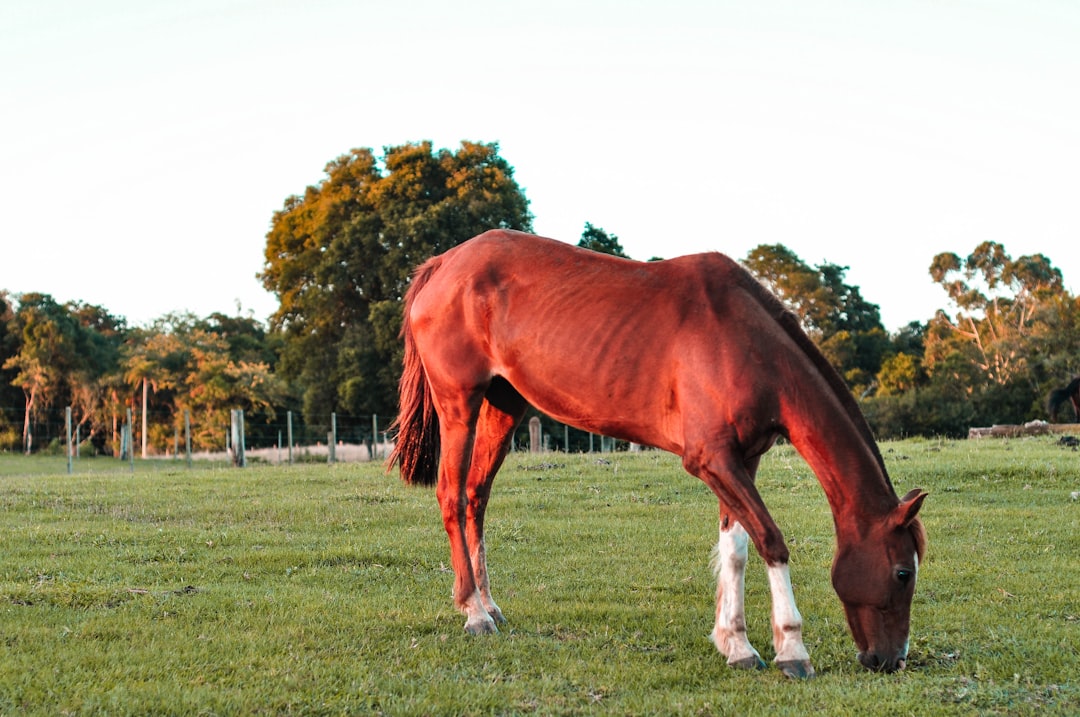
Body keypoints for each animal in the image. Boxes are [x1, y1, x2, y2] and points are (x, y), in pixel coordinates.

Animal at [389, 230, 927, 677]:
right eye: (903, 572)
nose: (892, 660)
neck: (746, 342)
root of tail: (444, 262)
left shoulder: (741, 460)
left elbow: (736, 549)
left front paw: (735, 644)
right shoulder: (712, 460)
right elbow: (771, 542)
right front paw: (791, 650)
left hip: (504, 406)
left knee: (476, 496)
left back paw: (489, 604)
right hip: (459, 403)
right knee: (452, 496)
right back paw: (473, 612)